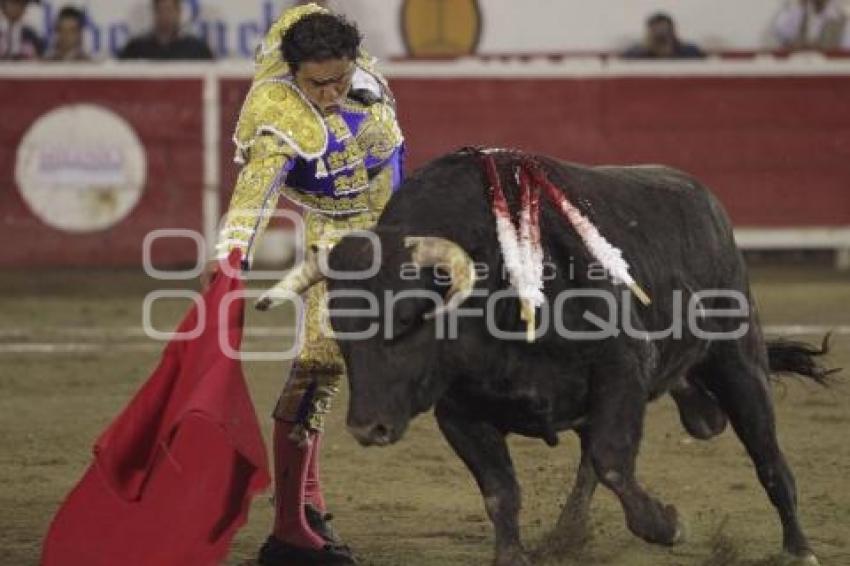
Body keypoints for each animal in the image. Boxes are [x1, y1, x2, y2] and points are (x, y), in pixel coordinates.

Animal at [255, 149, 832, 564]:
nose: (366, 428)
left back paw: (798, 548)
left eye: (411, 319)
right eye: (343, 332)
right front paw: (514, 555)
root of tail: (703, 198)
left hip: (738, 358)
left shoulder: (622, 370)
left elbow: (613, 461)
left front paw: (668, 525)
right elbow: (502, 491)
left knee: (768, 455)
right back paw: (568, 532)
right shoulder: (458, 412)